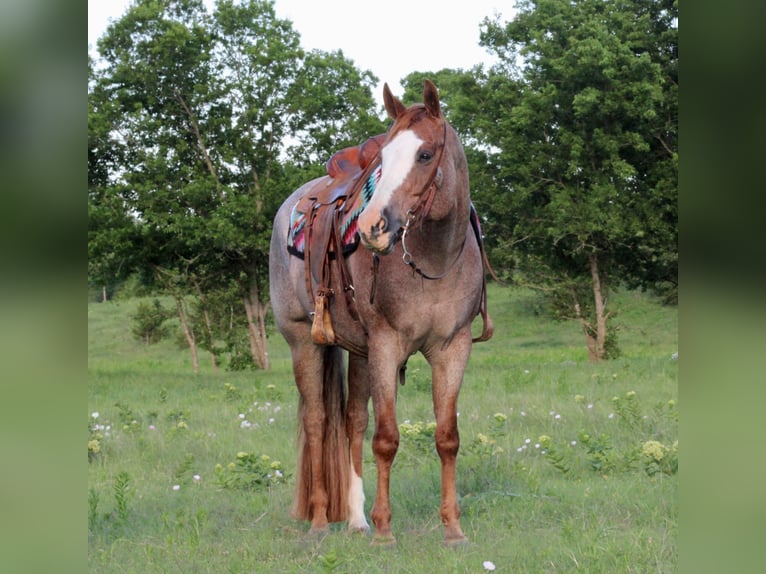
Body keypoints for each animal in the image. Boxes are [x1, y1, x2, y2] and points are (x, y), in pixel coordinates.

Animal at [270, 81, 496, 548]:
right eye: (383, 158)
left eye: (425, 154)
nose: (373, 225)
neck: (432, 260)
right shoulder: (388, 346)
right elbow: (387, 439)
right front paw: (386, 531)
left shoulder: (453, 348)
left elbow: (447, 437)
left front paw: (452, 529)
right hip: (304, 342)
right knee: (318, 421)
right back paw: (320, 520)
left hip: (358, 351)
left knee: (352, 421)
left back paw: (356, 520)